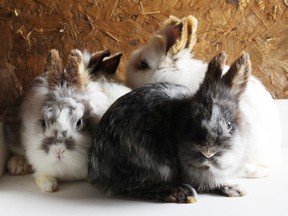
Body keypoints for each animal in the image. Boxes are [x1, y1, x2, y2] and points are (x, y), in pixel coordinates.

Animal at [88, 52, 252, 202]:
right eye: (191, 122)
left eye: (229, 125)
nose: (208, 151)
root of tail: (98, 171)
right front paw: (232, 189)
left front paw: (234, 189)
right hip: (156, 166)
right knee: (135, 188)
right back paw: (181, 193)